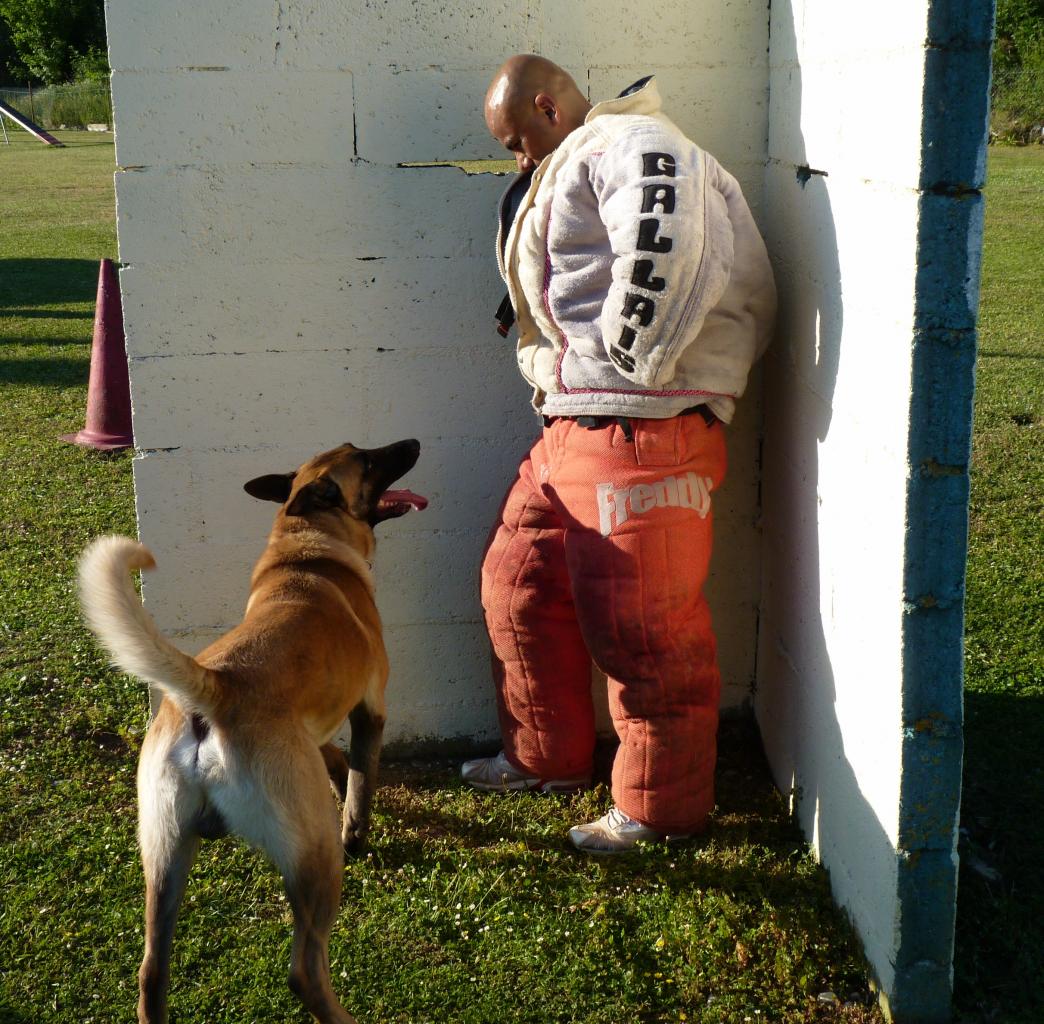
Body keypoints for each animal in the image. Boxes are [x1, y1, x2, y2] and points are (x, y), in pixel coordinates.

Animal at [76, 440, 428, 1022]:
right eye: (367, 458)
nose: (413, 444)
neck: (307, 544)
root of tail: (215, 690)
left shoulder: (313, 730)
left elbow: (336, 759)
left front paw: (338, 776)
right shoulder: (370, 709)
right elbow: (361, 785)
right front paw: (358, 830)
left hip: (165, 854)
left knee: (151, 970)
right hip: (313, 857)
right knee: (306, 968)